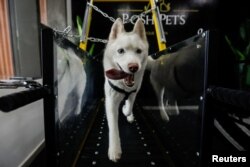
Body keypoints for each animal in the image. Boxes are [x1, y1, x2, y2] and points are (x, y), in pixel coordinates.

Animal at [103, 18, 148, 162]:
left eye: (138, 51)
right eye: (121, 51)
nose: (133, 67)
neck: (124, 86)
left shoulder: (133, 93)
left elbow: (128, 107)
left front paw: (125, 111)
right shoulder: (110, 101)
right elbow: (113, 127)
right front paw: (114, 149)